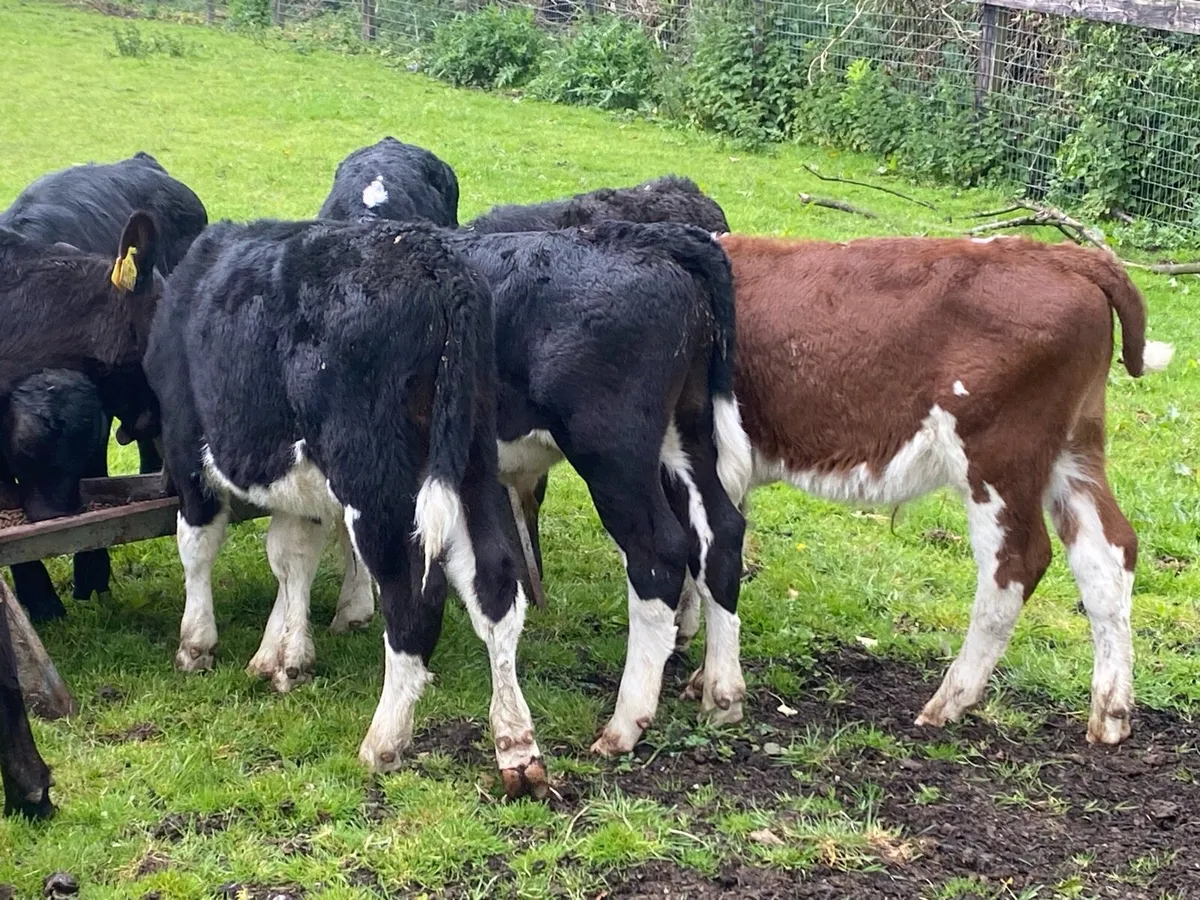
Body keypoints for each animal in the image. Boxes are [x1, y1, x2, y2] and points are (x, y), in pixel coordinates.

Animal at [143, 218, 546, 796]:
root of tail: (433, 259)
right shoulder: (300, 489)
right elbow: (291, 559)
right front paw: (283, 657)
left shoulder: (186, 450)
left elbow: (198, 547)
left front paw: (197, 645)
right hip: (471, 462)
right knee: (495, 589)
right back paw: (516, 745)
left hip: (378, 485)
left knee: (412, 604)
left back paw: (383, 742)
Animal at [691, 234, 1170, 746]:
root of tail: (1060, 253)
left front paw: (711, 683)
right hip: (1075, 448)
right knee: (1108, 554)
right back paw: (1110, 714)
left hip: (999, 456)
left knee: (1017, 563)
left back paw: (950, 700)